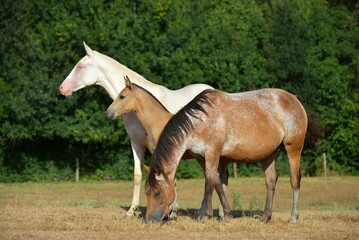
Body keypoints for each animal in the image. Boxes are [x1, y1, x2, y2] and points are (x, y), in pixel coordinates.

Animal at [57, 42, 212, 217]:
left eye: (80, 66)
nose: (62, 88)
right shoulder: (136, 143)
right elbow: (138, 175)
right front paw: (132, 210)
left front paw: (171, 211)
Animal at [146, 87, 324, 223]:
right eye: (146, 192)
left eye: (157, 192)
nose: (149, 220)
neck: (200, 121)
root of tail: (293, 98)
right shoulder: (203, 157)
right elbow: (215, 181)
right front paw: (220, 214)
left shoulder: (212, 153)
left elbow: (211, 182)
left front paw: (208, 215)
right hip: (269, 154)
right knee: (271, 181)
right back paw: (265, 217)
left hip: (293, 148)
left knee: (295, 180)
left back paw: (293, 217)